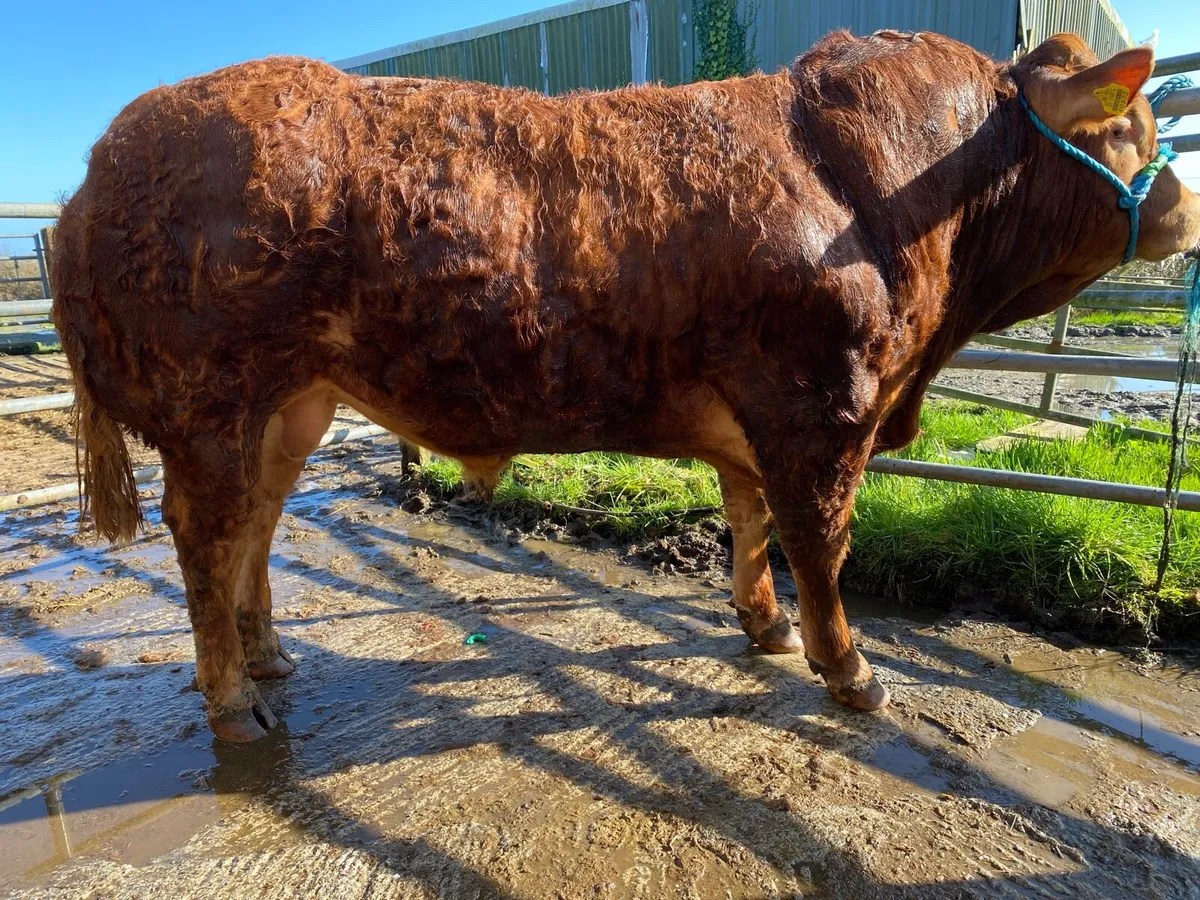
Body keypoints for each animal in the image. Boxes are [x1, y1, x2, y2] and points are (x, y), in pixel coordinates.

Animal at [51, 30, 1200, 741]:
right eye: (1131, 126)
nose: (1185, 207)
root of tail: (95, 171)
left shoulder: (761, 415)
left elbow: (750, 524)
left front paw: (765, 628)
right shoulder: (822, 405)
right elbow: (821, 545)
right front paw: (851, 671)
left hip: (292, 408)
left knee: (255, 528)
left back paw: (272, 661)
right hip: (210, 402)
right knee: (206, 538)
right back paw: (234, 701)